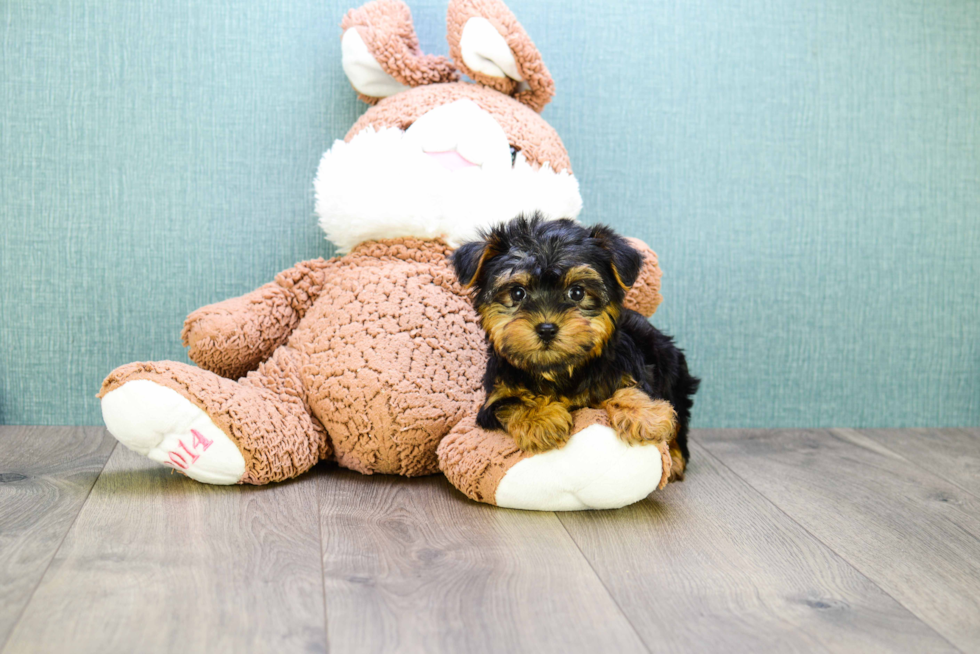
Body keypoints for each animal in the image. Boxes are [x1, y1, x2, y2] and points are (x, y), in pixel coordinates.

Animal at [452, 215, 696, 482]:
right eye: (517, 293)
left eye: (577, 292)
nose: (546, 328)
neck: (559, 369)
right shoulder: (494, 396)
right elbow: (509, 403)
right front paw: (542, 419)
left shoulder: (628, 368)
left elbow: (632, 388)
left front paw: (644, 415)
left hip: (671, 365)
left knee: (680, 415)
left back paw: (676, 458)